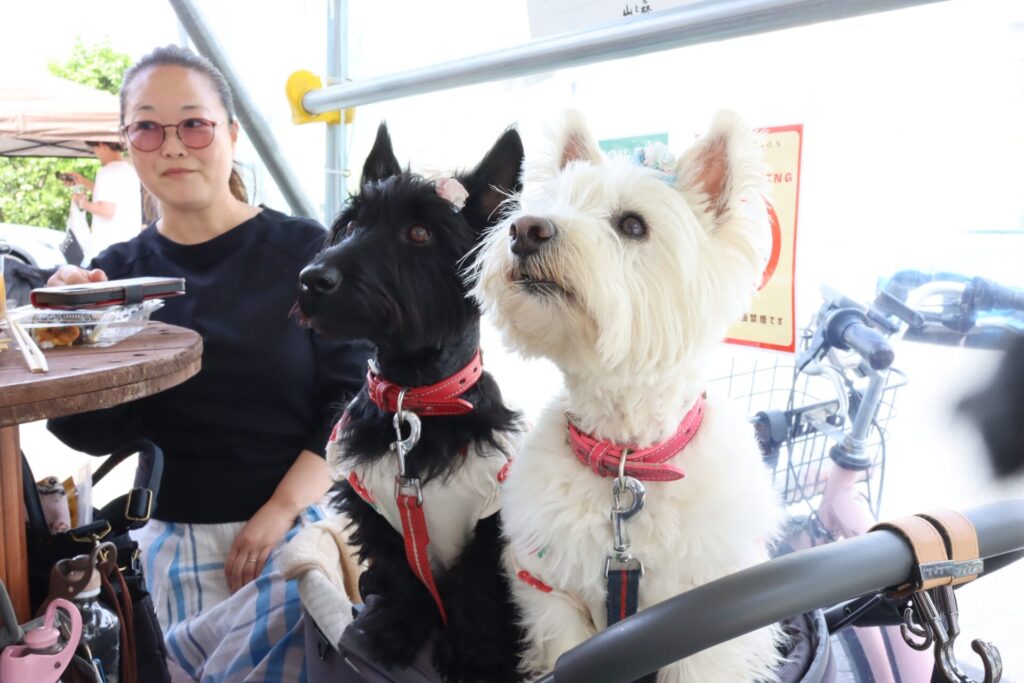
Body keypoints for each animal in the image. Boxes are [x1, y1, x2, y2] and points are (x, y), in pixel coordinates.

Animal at [298, 123, 526, 682]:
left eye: (420, 233)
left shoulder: (490, 524)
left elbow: (474, 595)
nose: (312, 279)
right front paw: (393, 632)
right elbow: (401, 576)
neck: (416, 400)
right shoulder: (373, 506)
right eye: (351, 224)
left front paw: (475, 659)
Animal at [472, 110, 785, 682]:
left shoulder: (710, 611)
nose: (525, 229)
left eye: (633, 225)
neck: (627, 459)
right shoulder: (551, 592)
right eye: (554, 203)